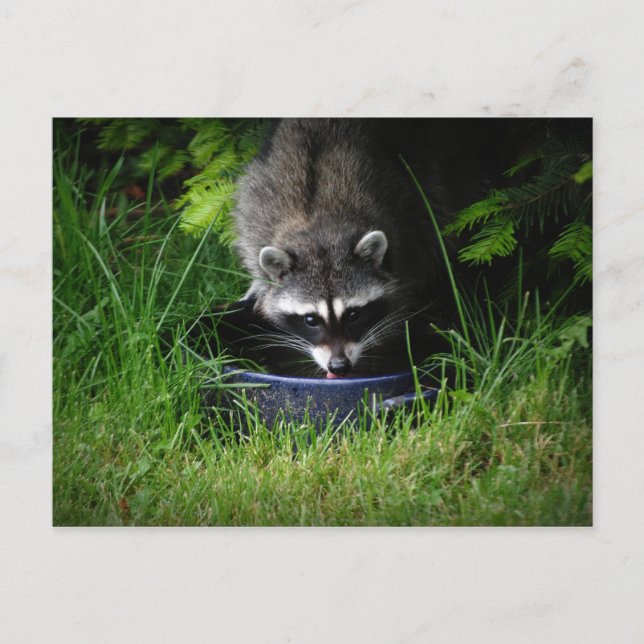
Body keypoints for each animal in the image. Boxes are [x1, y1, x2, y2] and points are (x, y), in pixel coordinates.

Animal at [232, 118, 505, 377]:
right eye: (310, 320)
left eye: (354, 314)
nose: (339, 366)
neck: (318, 221)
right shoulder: (259, 206)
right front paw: (259, 283)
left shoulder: (406, 221)